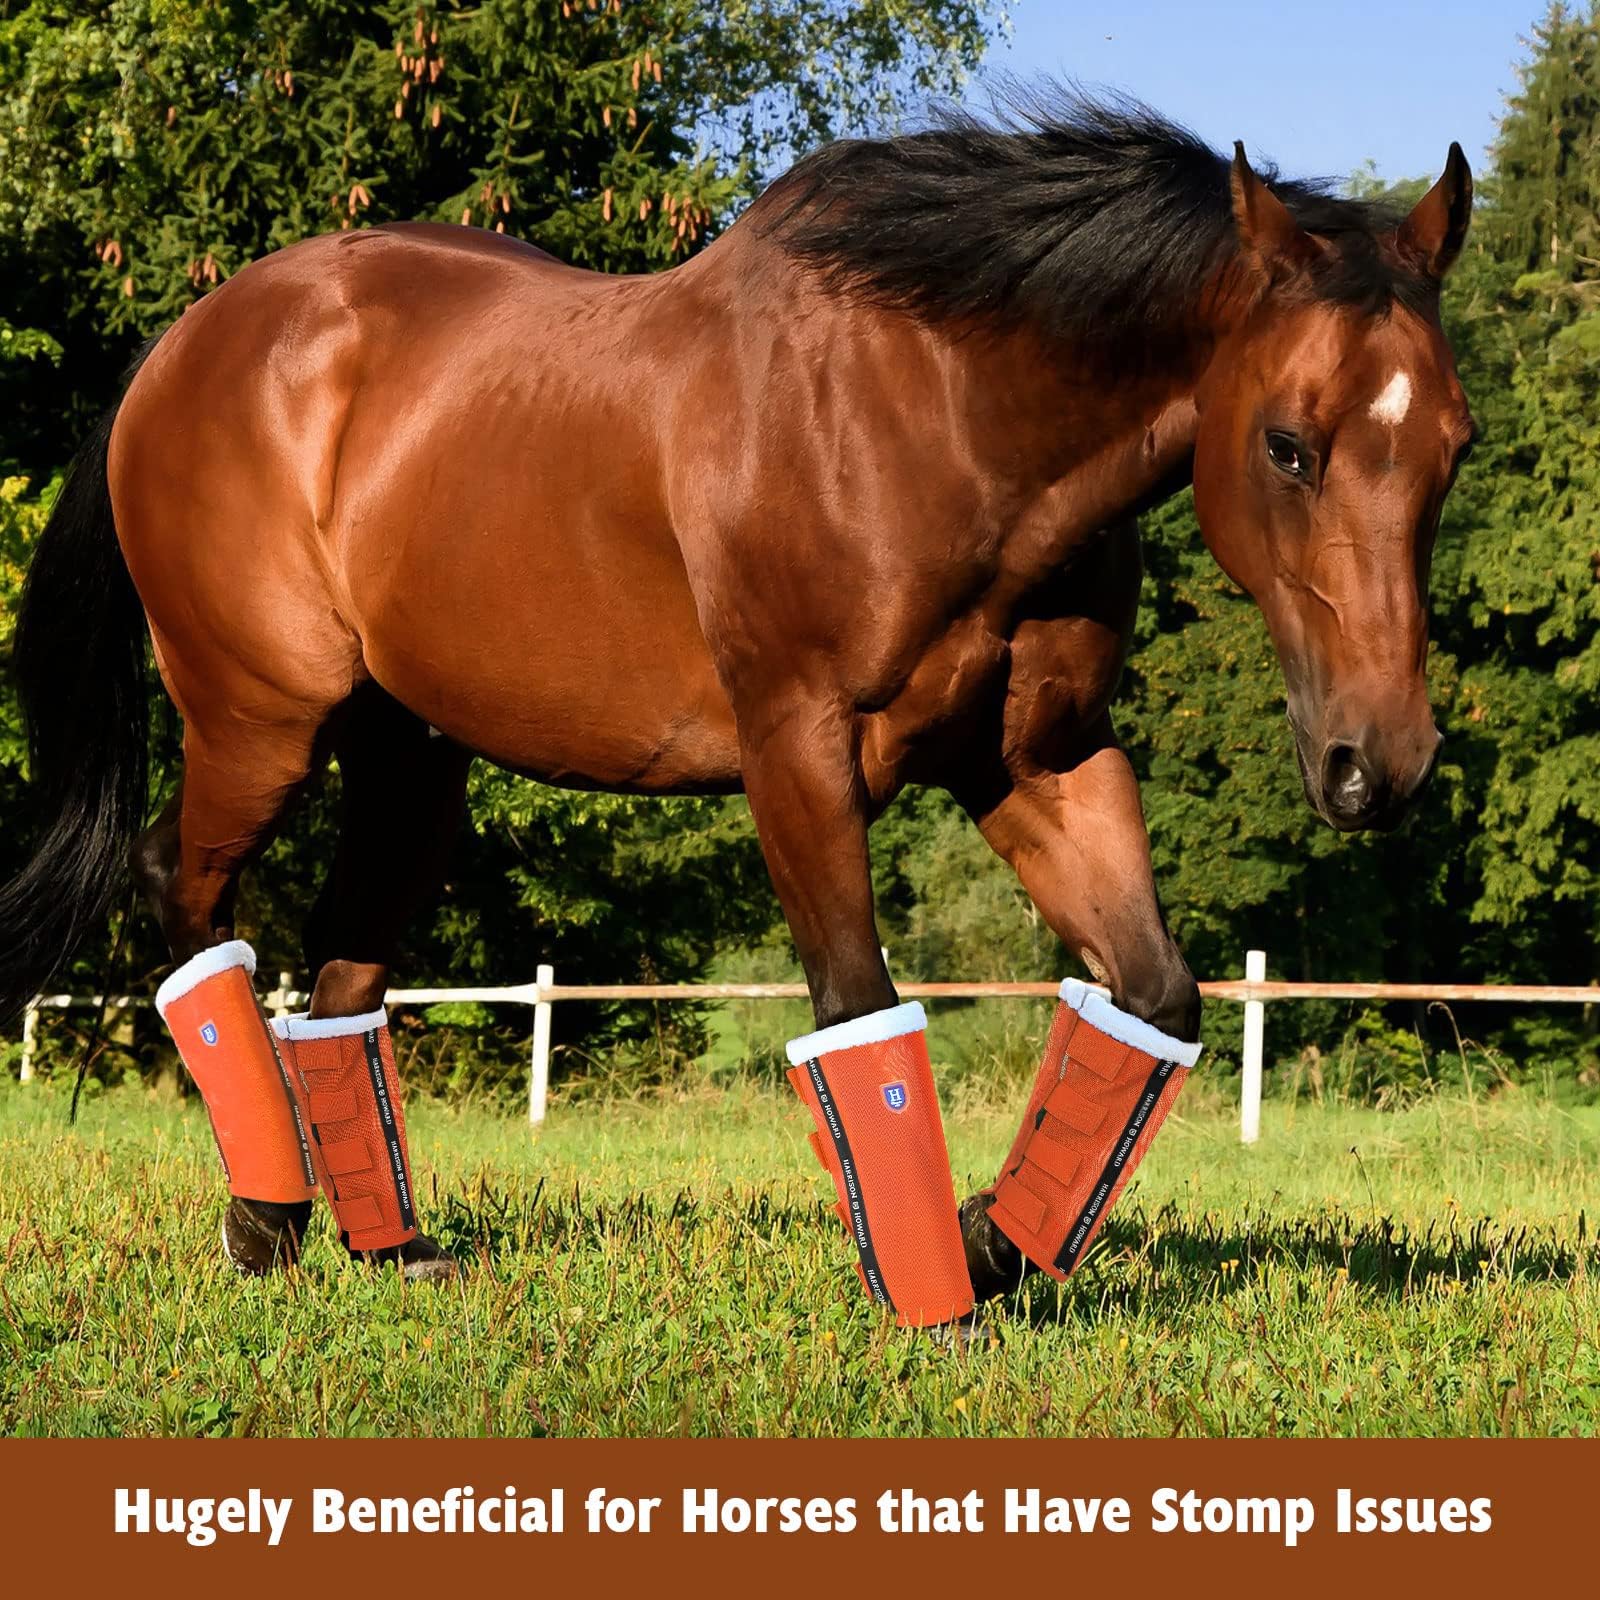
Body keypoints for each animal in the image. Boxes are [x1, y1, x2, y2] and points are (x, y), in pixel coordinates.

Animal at [0, 94, 1473, 1301]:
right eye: (1288, 445)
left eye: (1454, 446)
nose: (1379, 764)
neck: (938, 412)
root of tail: (183, 346)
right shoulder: (799, 752)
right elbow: (858, 1013)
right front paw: (936, 1303)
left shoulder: (1039, 762)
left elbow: (1154, 998)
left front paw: (997, 1241)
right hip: (260, 724)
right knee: (187, 904)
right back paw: (265, 1218)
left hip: (411, 759)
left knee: (343, 973)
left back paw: (392, 1247)